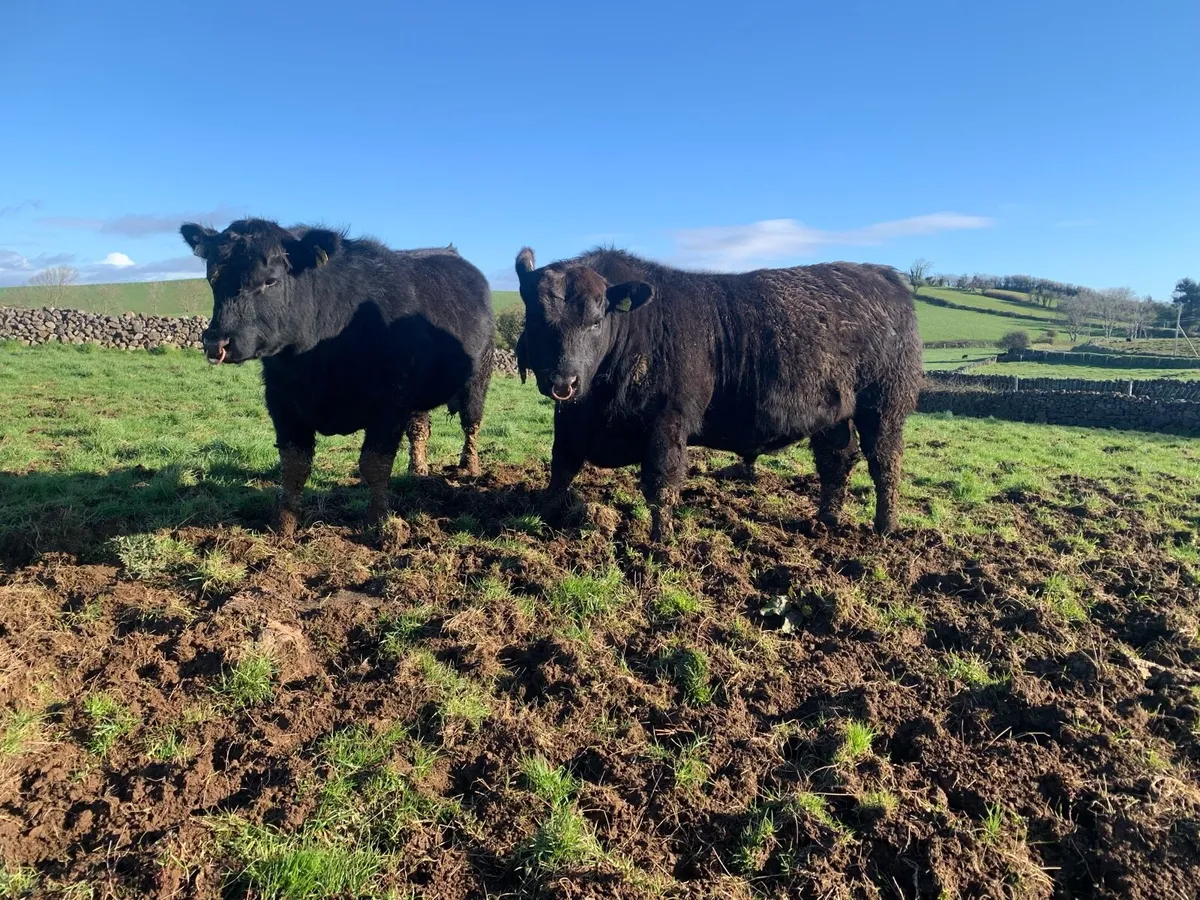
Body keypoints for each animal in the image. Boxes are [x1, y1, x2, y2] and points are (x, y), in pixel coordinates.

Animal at [180, 218, 494, 535]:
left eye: (270, 280)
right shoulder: (282, 402)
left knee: (471, 424)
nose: (216, 342)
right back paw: (417, 471)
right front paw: (283, 526)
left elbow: (374, 465)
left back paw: (469, 467)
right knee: (419, 429)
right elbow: (294, 466)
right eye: (212, 278)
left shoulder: (389, 406)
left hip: (479, 376)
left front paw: (379, 523)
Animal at [513, 247, 922, 540]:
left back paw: (886, 528)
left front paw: (662, 542)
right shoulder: (571, 420)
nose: (563, 381)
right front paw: (540, 519)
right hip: (832, 415)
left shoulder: (667, 423)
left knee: (885, 464)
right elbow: (561, 468)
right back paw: (826, 520)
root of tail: (882, 275)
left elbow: (661, 484)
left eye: (596, 321)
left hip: (884, 406)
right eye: (536, 318)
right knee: (836, 460)